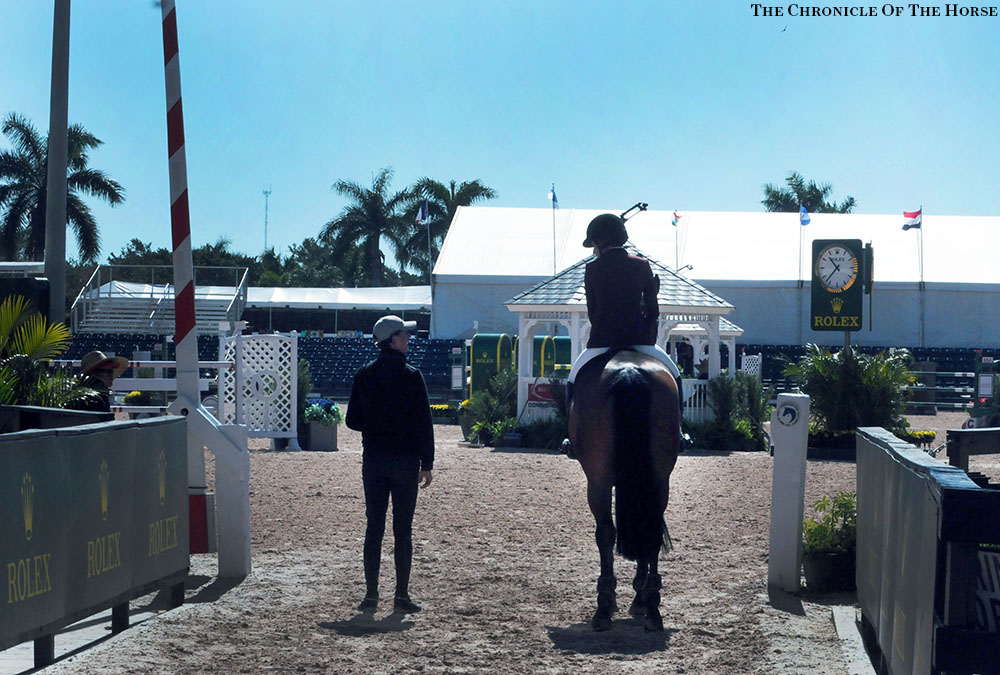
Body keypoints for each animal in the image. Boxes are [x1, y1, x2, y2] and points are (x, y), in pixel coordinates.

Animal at [572, 348, 680, 632]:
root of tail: (628, 369)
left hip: (597, 480)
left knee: (605, 533)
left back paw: (606, 608)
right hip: (658, 479)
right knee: (649, 530)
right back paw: (651, 610)